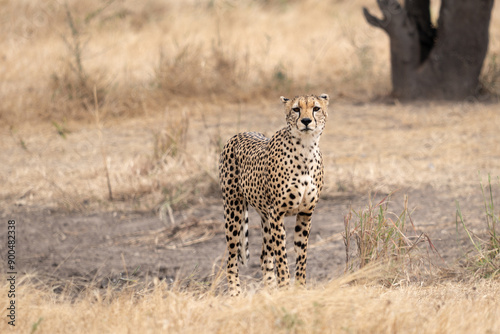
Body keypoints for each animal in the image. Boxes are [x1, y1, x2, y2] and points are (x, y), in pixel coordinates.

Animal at [218, 93, 328, 294]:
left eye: (316, 108)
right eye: (296, 109)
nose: (306, 121)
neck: (306, 149)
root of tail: (239, 133)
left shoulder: (305, 213)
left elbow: (301, 255)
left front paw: (300, 289)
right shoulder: (277, 213)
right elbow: (282, 257)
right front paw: (285, 288)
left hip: (264, 216)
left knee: (264, 256)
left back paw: (269, 292)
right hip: (233, 209)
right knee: (231, 258)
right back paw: (235, 293)